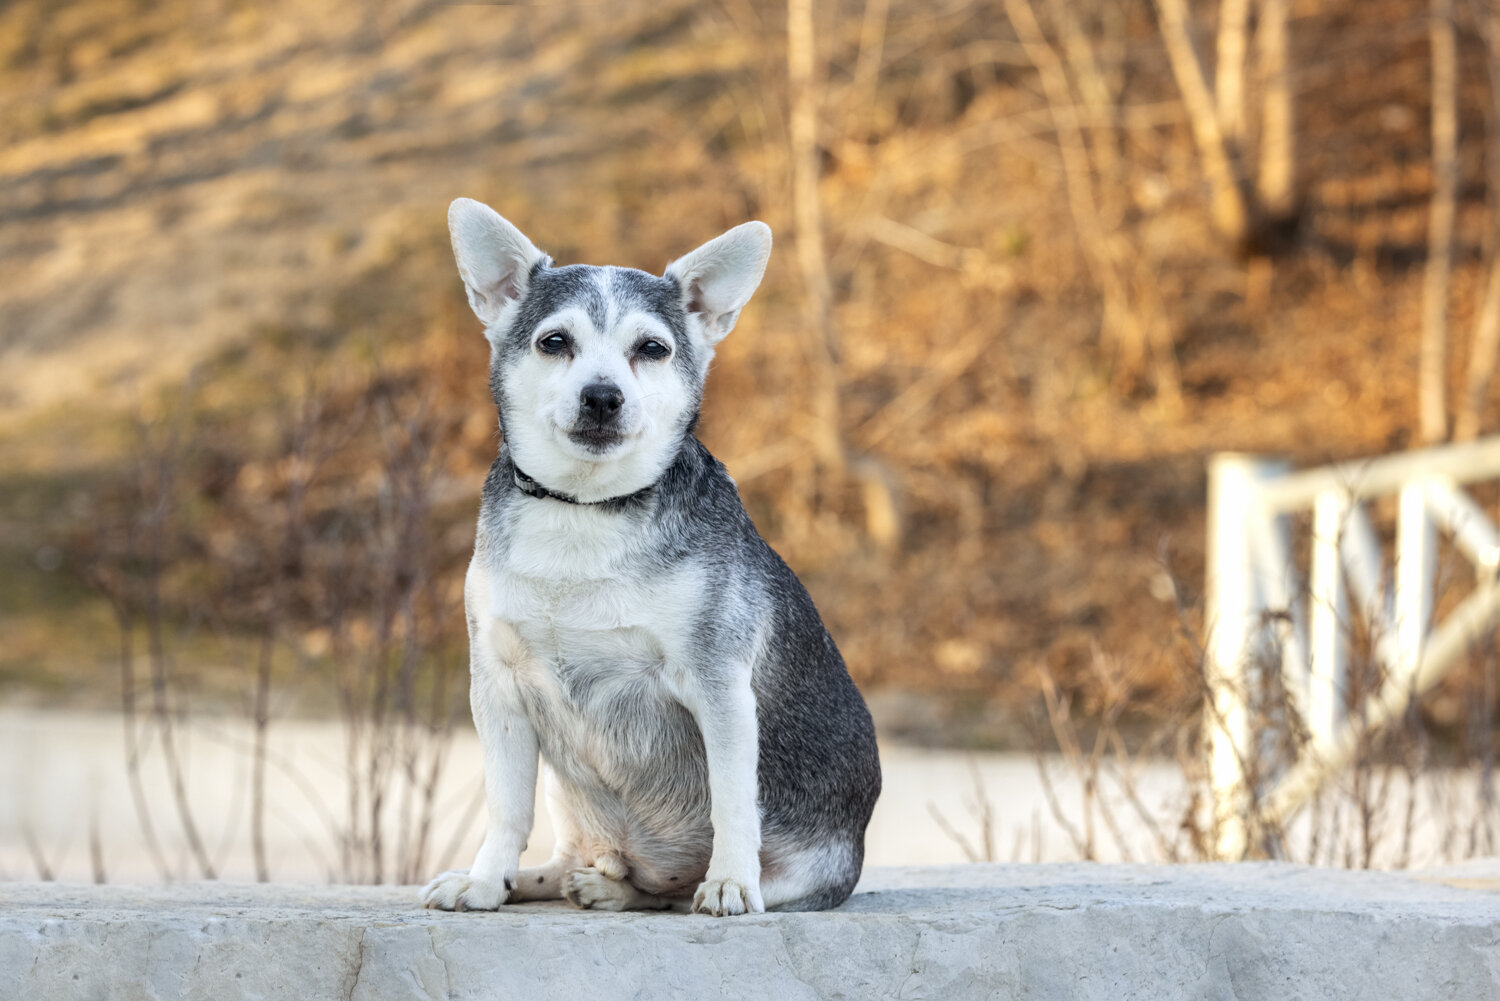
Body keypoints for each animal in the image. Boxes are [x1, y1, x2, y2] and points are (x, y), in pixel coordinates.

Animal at [417, 198, 882, 918]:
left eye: (652, 349)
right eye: (554, 342)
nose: (603, 395)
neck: (587, 507)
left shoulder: (719, 687)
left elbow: (732, 800)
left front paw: (730, 880)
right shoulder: (499, 689)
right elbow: (505, 807)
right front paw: (487, 878)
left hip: (796, 873)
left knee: (673, 890)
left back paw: (669, 884)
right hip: (568, 792)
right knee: (593, 859)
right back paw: (567, 879)